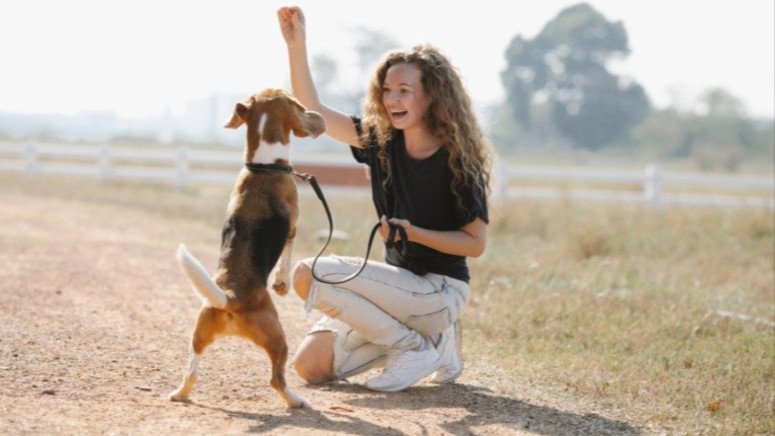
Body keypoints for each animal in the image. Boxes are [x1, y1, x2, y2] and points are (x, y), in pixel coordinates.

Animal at [168, 87, 326, 408]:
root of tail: (230, 297)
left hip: (198, 335)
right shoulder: (292, 228)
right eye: (296, 104)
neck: (263, 167)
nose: (318, 116)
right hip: (278, 337)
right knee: (276, 379)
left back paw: (180, 393)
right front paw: (281, 284)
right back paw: (296, 401)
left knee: (191, 372)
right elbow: (286, 259)